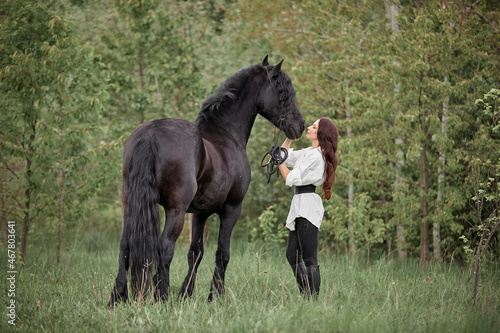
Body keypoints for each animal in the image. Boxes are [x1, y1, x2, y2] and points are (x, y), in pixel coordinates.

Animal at [109, 55, 304, 308]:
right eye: (283, 92)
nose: (300, 125)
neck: (226, 134)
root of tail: (150, 134)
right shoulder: (231, 209)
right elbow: (222, 252)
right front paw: (215, 295)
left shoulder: (200, 213)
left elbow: (196, 252)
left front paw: (186, 293)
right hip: (175, 210)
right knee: (165, 247)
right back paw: (161, 297)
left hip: (130, 204)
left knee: (125, 245)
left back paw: (118, 297)